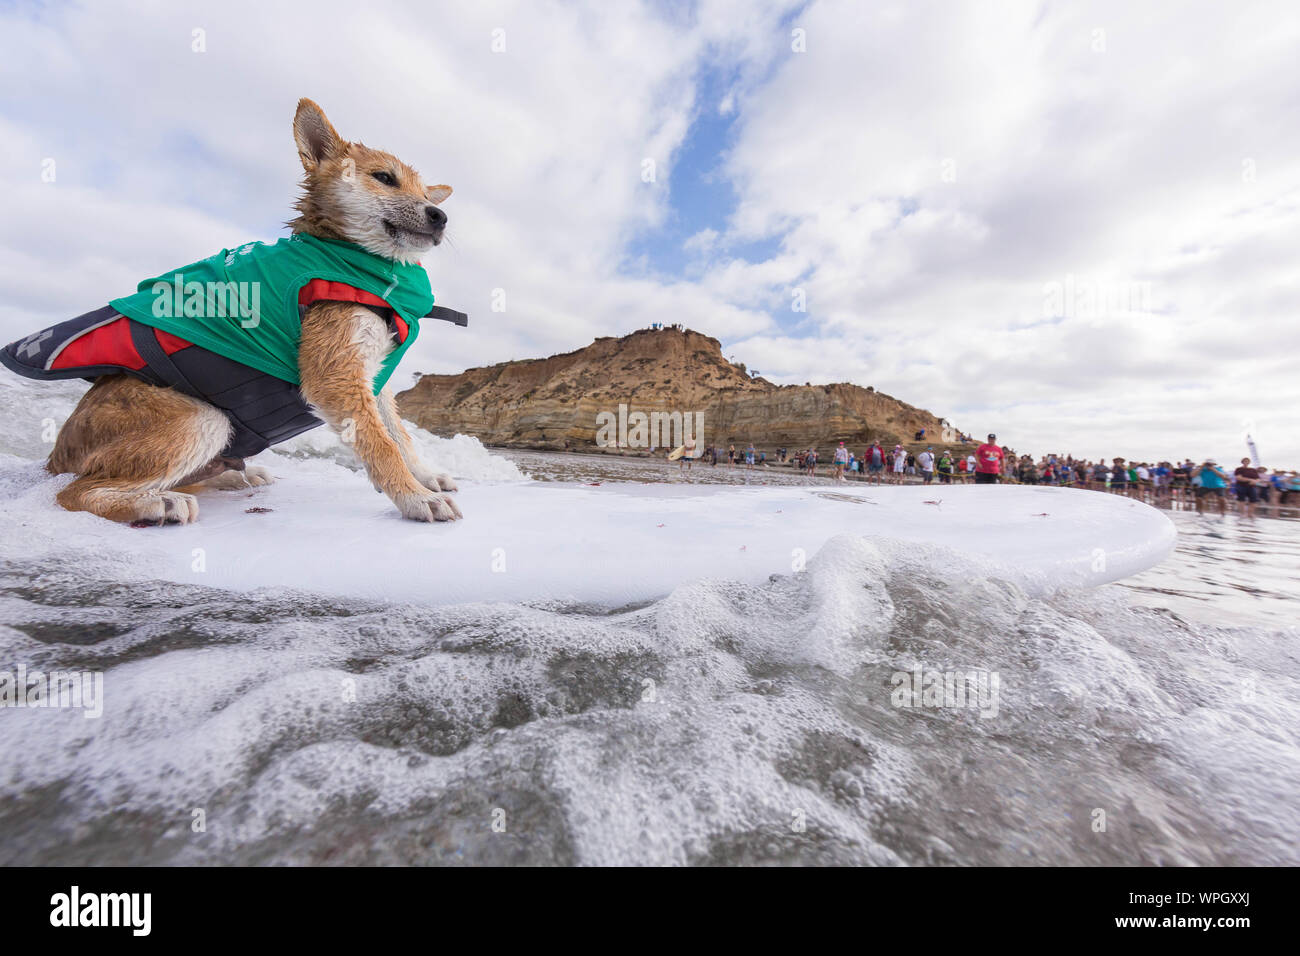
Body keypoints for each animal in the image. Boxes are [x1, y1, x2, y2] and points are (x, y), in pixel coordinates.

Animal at [3, 100, 462, 528]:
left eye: (426, 195)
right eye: (384, 177)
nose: (440, 215)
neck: (351, 256)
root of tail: (55, 458)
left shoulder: (372, 374)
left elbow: (399, 435)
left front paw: (425, 477)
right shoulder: (336, 376)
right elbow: (383, 445)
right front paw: (415, 498)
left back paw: (231, 477)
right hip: (201, 419)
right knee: (75, 493)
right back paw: (156, 503)